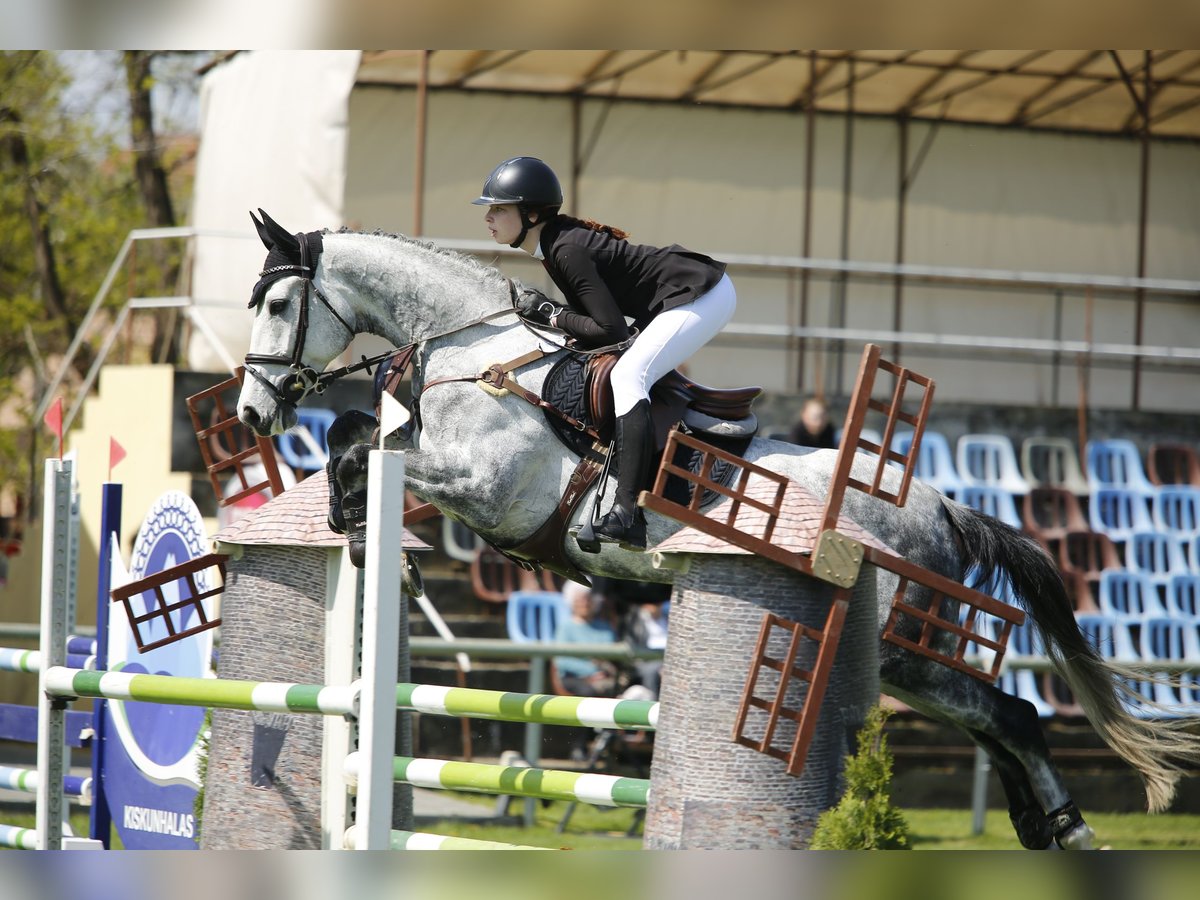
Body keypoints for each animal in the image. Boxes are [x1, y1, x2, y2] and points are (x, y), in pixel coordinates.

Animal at [236, 211, 1200, 854]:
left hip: (902, 647)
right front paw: (355, 533)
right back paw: (1043, 825)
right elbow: (352, 434)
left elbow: (365, 451)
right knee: (998, 719)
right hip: (904, 661)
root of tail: (943, 507)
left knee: (1014, 713)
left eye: (280, 304)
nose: (249, 412)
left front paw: (364, 535)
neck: (477, 352)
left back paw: (1069, 832)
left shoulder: (486, 489)